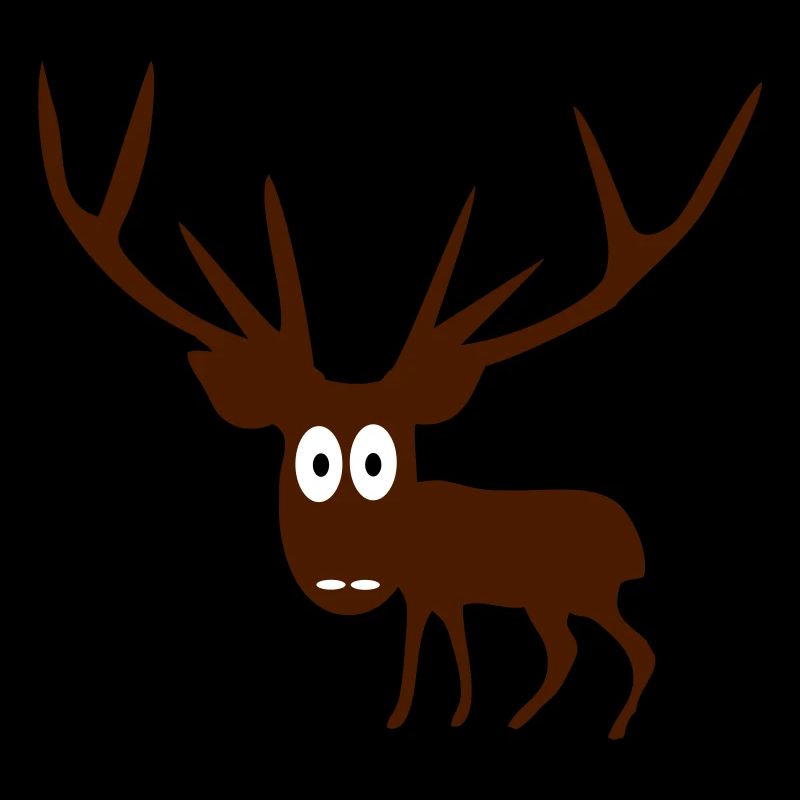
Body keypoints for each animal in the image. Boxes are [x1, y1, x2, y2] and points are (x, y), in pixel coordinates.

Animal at [38, 64, 760, 739]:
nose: (345, 576)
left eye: (378, 460)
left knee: (632, 649)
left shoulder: (441, 588)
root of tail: (634, 544)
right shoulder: (435, 594)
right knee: (571, 651)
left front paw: (425, 712)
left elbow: (440, 649)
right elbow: (441, 646)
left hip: (581, 592)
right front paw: (438, 710)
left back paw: (600, 721)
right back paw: (533, 715)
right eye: (313, 459)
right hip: (555, 600)